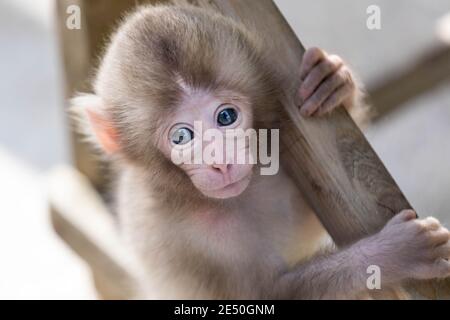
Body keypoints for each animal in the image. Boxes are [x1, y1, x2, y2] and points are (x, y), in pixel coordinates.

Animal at [72, 5, 448, 298]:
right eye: (181, 136)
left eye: (226, 117)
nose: (221, 162)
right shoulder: (173, 234)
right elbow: (262, 295)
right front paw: (389, 255)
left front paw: (333, 81)